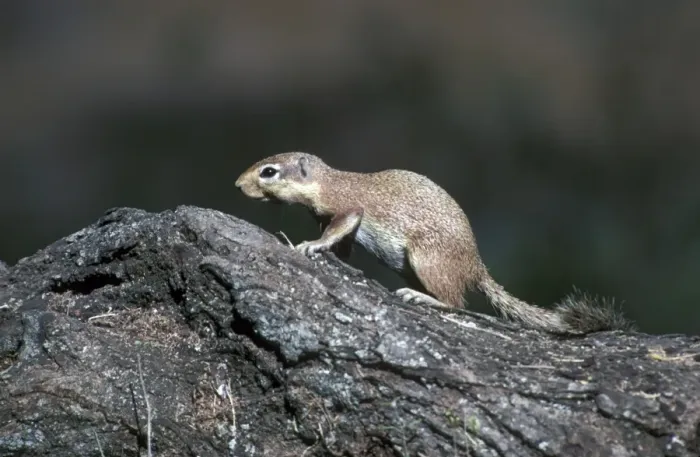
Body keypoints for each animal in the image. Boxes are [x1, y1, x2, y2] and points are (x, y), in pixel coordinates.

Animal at [235, 151, 630, 335]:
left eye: (269, 172)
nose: (237, 185)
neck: (326, 180)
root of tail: (475, 267)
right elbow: (342, 247)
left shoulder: (347, 208)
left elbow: (338, 228)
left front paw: (310, 246)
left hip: (427, 260)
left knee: (456, 304)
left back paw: (421, 298)